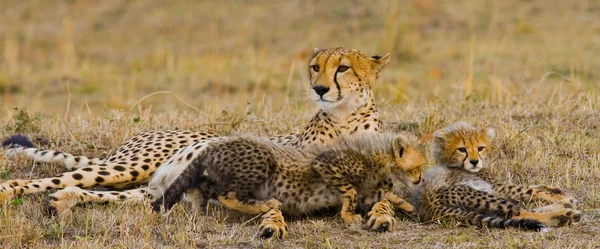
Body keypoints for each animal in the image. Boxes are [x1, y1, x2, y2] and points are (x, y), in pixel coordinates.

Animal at [0, 46, 392, 214]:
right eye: (314, 67)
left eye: (342, 68)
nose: (319, 89)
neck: (344, 117)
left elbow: (383, 197)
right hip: (130, 166)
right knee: (44, 180)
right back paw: (12, 192)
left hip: (155, 187)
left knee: (105, 194)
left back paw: (64, 200)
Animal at [149, 132, 422, 239]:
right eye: (417, 167)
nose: (420, 179)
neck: (377, 155)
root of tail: (212, 147)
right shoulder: (326, 164)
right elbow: (350, 191)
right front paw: (348, 215)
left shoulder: (371, 190)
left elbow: (383, 194)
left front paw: (407, 205)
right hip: (260, 162)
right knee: (228, 194)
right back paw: (265, 204)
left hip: (220, 174)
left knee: (201, 187)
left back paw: (199, 209)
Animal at [412, 122, 580, 231]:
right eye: (462, 149)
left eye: (480, 148)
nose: (474, 162)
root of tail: (426, 205)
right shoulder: (497, 187)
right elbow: (527, 190)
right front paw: (561, 197)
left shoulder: (496, 187)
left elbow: (532, 187)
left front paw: (557, 191)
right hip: (481, 196)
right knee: (518, 212)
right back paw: (564, 214)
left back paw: (564, 206)